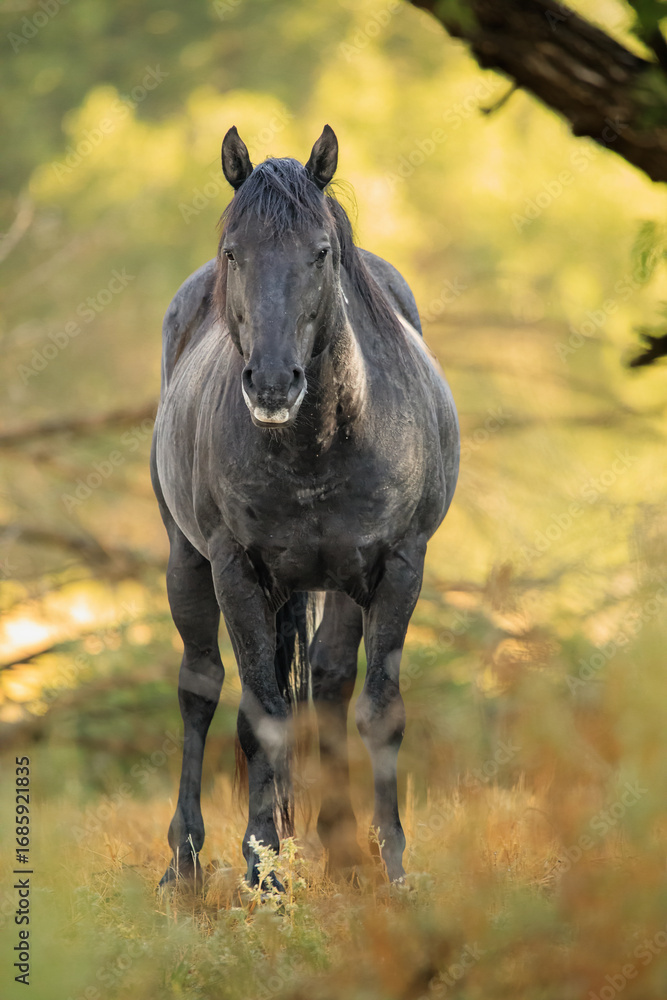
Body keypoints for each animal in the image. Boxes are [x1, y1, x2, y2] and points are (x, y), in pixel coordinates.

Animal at [151, 124, 459, 887]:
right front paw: (263, 873)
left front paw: (390, 866)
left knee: (327, 684)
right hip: (185, 560)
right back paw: (184, 862)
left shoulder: (397, 567)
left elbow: (377, 711)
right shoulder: (237, 571)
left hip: (340, 584)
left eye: (320, 252)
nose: (271, 383)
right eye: (234, 251)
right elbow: (261, 716)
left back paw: (342, 850)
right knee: (200, 688)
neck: (321, 442)